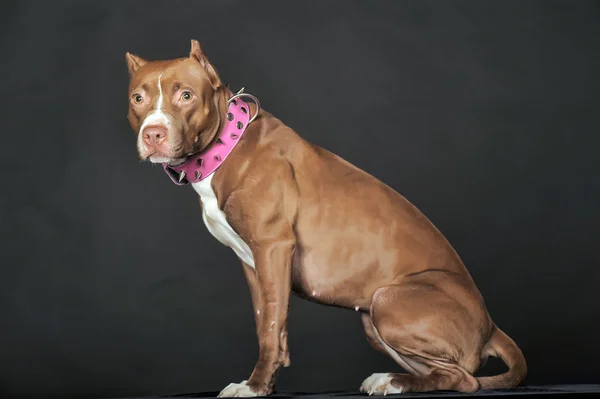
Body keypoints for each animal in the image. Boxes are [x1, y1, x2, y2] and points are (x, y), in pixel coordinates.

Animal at [124, 39, 528, 396]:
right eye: (137, 99)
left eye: (186, 95)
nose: (153, 134)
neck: (228, 144)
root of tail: (491, 326)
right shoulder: (253, 263)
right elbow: (267, 320)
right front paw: (267, 382)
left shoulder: (273, 247)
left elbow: (270, 328)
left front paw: (254, 387)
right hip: (375, 323)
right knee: (445, 373)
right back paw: (393, 379)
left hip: (387, 301)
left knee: (465, 379)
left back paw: (395, 382)